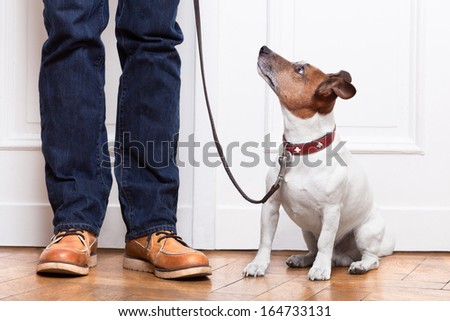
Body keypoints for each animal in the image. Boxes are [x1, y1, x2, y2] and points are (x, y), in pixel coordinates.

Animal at [243, 45, 394, 280]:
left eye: (300, 69)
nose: (263, 48)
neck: (302, 148)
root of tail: (342, 257)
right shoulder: (270, 205)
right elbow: (265, 240)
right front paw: (258, 264)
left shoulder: (331, 211)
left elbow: (325, 241)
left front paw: (321, 269)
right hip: (306, 231)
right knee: (313, 249)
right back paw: (304, 259)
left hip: (365, 232)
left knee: (371, 258)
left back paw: (356, 264)